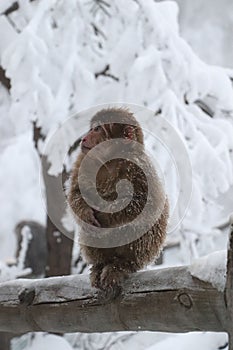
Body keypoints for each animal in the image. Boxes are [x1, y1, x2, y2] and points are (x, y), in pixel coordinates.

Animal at [68, 107, 169, 296]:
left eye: (97, 129)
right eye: (92, 128)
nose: (83, 138)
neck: (108, 161)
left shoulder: (139, 166)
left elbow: (143, 204)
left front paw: (104, 214)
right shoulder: (83, 159)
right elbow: (75, 193)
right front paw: (86, 213)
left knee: (138, 226)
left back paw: (121, 265)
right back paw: (100, 265)